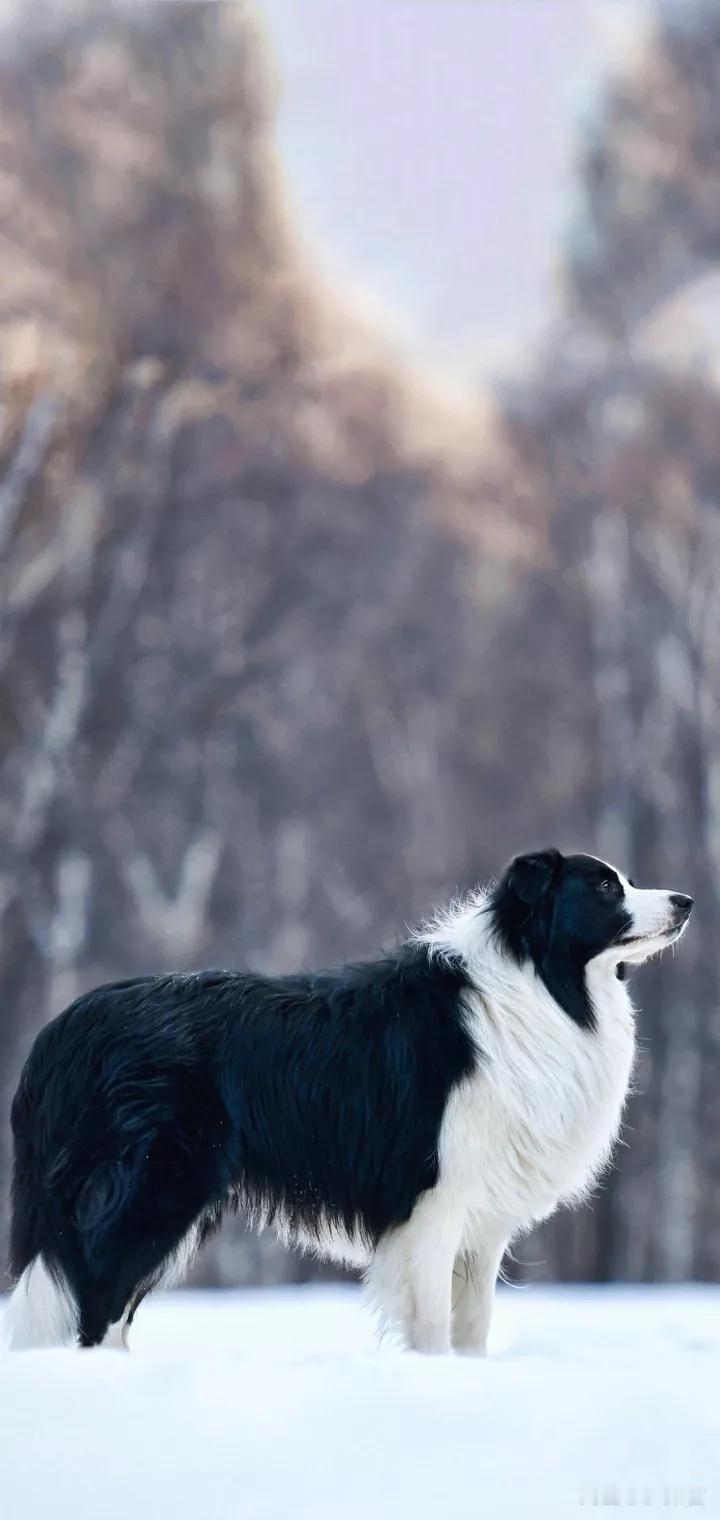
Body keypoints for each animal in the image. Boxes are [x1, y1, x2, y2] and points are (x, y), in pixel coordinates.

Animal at [4, 851, 692, 1361]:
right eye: (604, 885)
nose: (686, 901)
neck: (543, 987)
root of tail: (55, 1036)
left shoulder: (481, 1220)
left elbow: (473, 1326)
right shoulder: (434, 1203)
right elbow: (433, 1328)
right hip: (154, 1189)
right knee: (95, 1305)